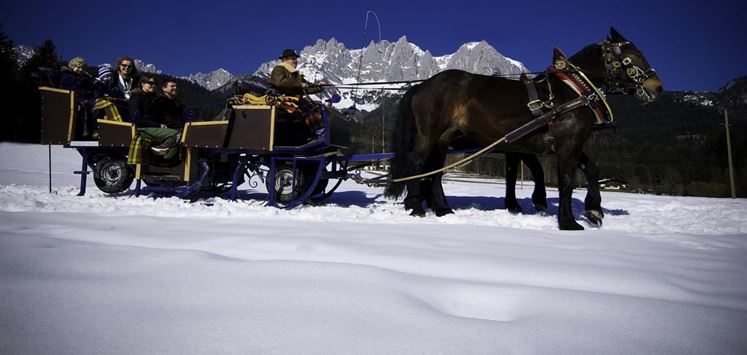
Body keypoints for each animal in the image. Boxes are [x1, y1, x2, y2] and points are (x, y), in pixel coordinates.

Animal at [388, 28, 664, 231]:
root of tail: (422, 85)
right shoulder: (566, 144)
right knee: (417, 163)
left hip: (443, 140)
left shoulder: (566, 143)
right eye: (632, 56)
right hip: (429, 134)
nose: (657, 87)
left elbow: (591, 168)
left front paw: (594, 209)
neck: (571, 91)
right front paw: (568, 222)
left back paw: (443, 209)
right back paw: (416, 206)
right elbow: (566, 181)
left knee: (434, 172)